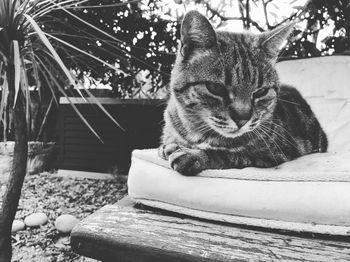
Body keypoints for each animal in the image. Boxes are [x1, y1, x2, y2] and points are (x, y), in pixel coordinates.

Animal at [159, 10, 328, 176]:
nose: (242, 119)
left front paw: (194, 154)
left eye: (261, 91)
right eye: (215, 88)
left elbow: (230, 155)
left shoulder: (273, 155)